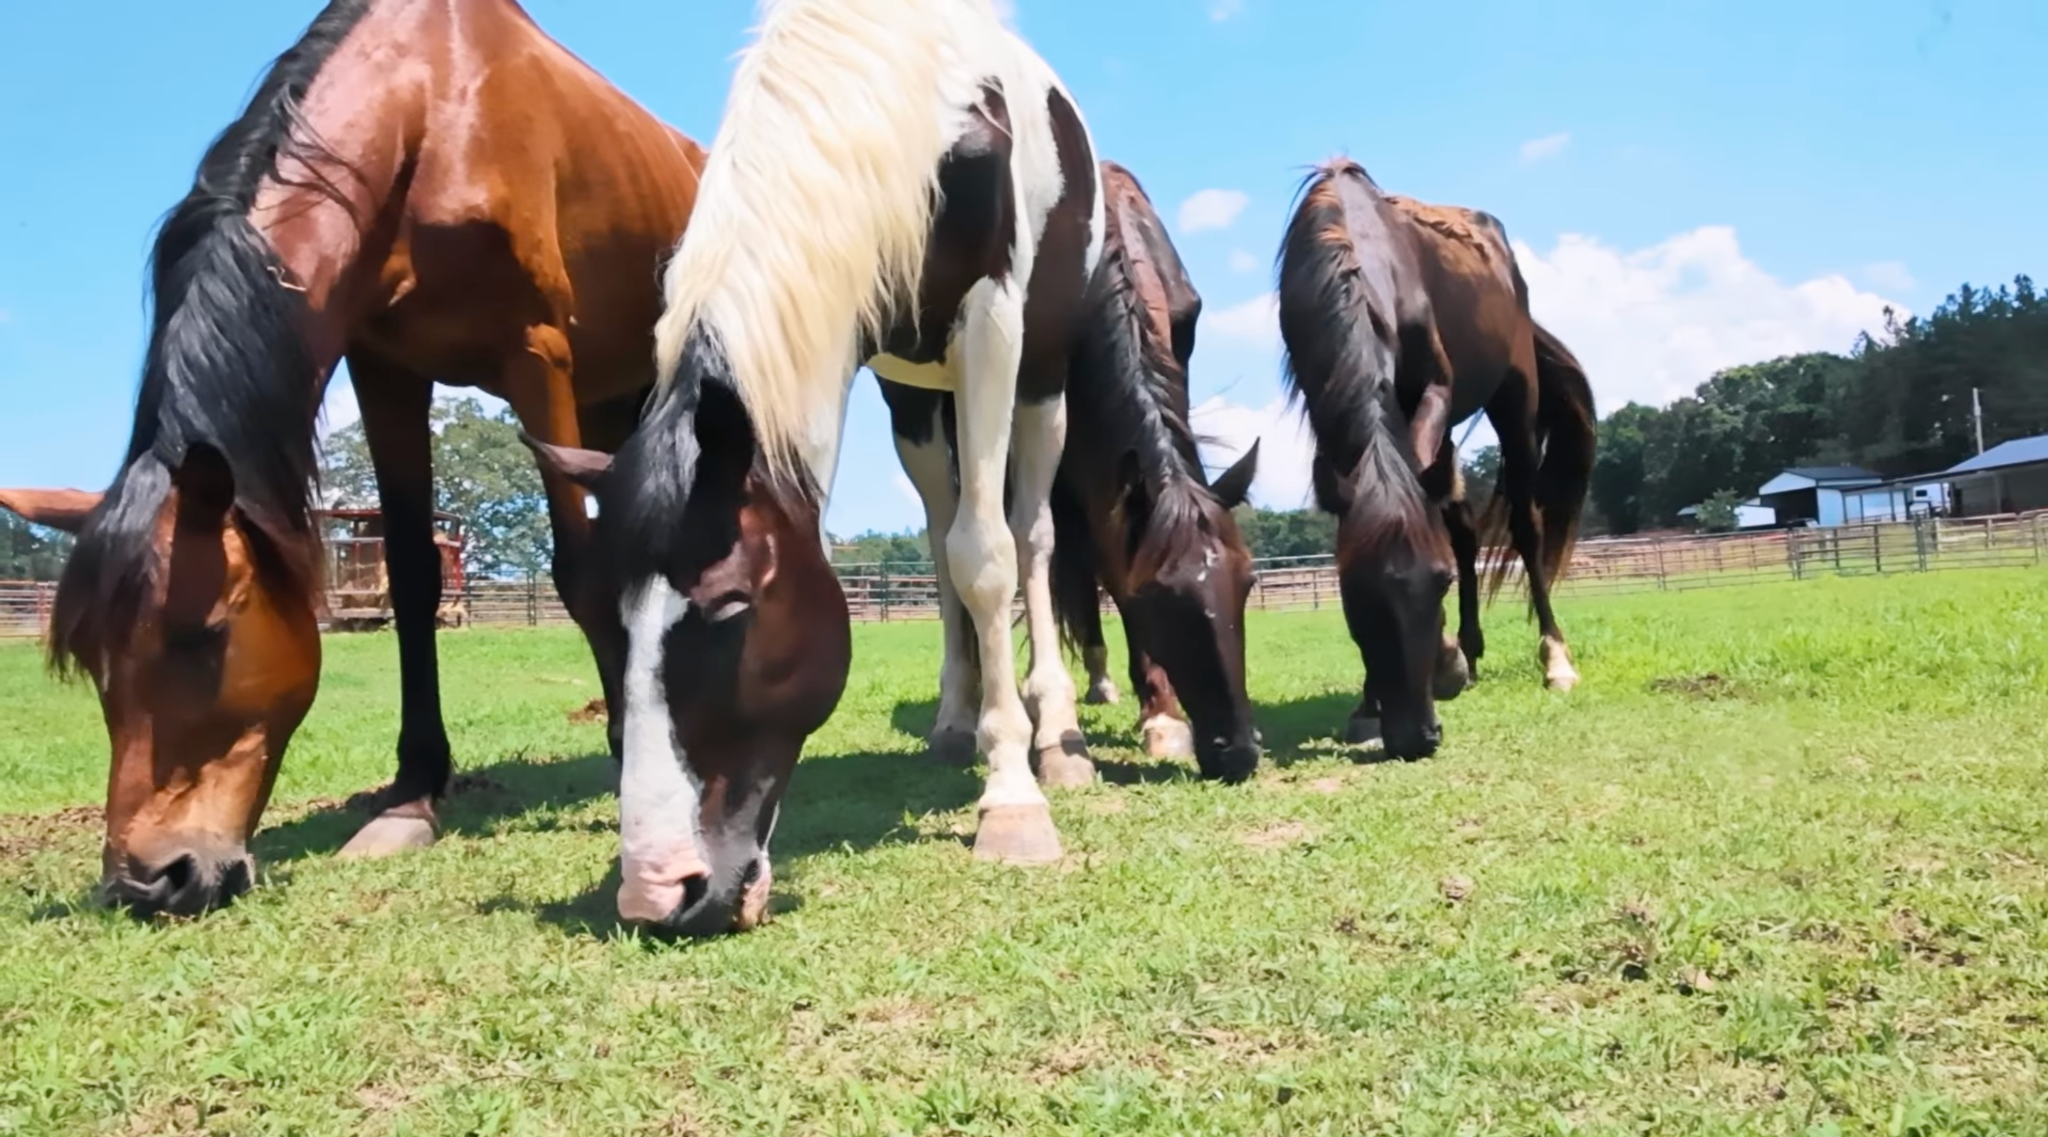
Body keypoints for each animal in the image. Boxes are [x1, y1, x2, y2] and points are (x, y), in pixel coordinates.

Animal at [0, 0, 706, 917]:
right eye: (92, 659)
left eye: (203, 635)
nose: (148, 880)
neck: (431, 107)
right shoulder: (386, 369)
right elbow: (410, 579)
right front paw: (411, 794)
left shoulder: (536, 354)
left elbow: (579, 569)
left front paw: (630, 751)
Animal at [524, 0, 1103, 935]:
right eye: (603, 621)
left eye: (731, 604)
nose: (657, 891)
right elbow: (953, 555)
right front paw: (977, 735)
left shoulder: (992, 321)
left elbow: (989, 559)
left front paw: (1014, 798)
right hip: (917, 399)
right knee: (942, 531)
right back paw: (957, 722)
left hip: (1041, 372)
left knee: (1029, 536)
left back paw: (1057, 735)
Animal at [1275, 158, 1594, 760]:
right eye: (1352, 592)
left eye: (1440, 582)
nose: (1417, 736)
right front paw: (1371, 705)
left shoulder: (1436, 391)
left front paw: (1443, 661)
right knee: (1463, 527)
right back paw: (1469, 651)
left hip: (1514, 400)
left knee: (1524, 526)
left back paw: (1554, 660)